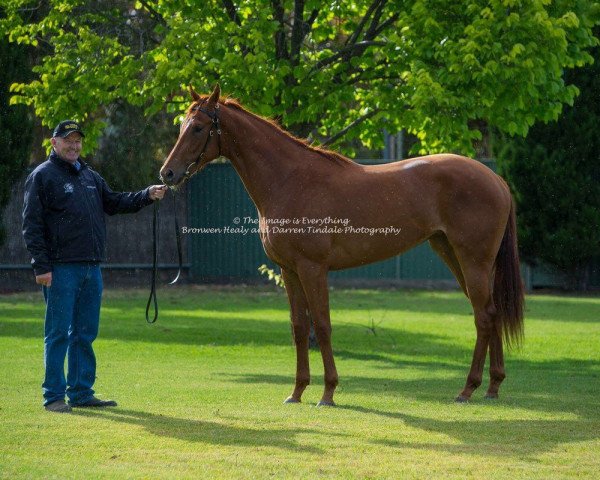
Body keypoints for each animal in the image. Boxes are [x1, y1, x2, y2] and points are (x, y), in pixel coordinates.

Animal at [161, 85, 524, 404]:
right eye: (181, 125)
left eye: (197, 128)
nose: (167, 174)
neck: (291, 180)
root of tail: (497, 180)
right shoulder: (289, 270)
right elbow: (299, 327)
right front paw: (296, 392)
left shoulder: (313, 268)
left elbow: (322, 326)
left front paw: (328, 393)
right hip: (454, 255)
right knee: (491, 312)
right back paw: (492, 387)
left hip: (473, 260)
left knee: (483, 316)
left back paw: (468, 389)